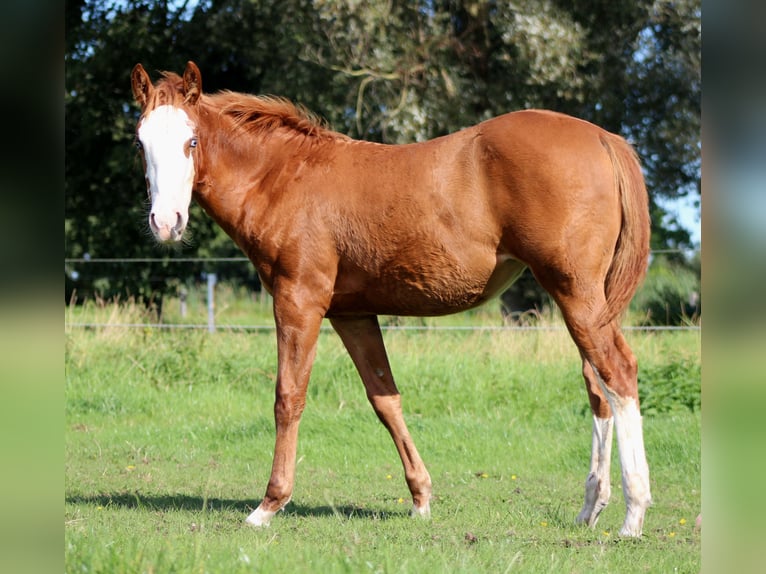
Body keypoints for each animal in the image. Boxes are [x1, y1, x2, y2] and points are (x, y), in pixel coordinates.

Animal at [131, 61, 652, 536]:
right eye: (140, 143)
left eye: (191, 141)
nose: (166, 222)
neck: (282, 177)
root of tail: (602, 137)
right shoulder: (353, 313)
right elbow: (385, 398)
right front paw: (421, 498)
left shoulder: (298, 300)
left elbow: (288, 397)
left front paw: (269, 505)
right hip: (586, 300)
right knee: (597, 386)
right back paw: (591, 508)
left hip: (574, 293)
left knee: (618, 373)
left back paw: (633, 515)